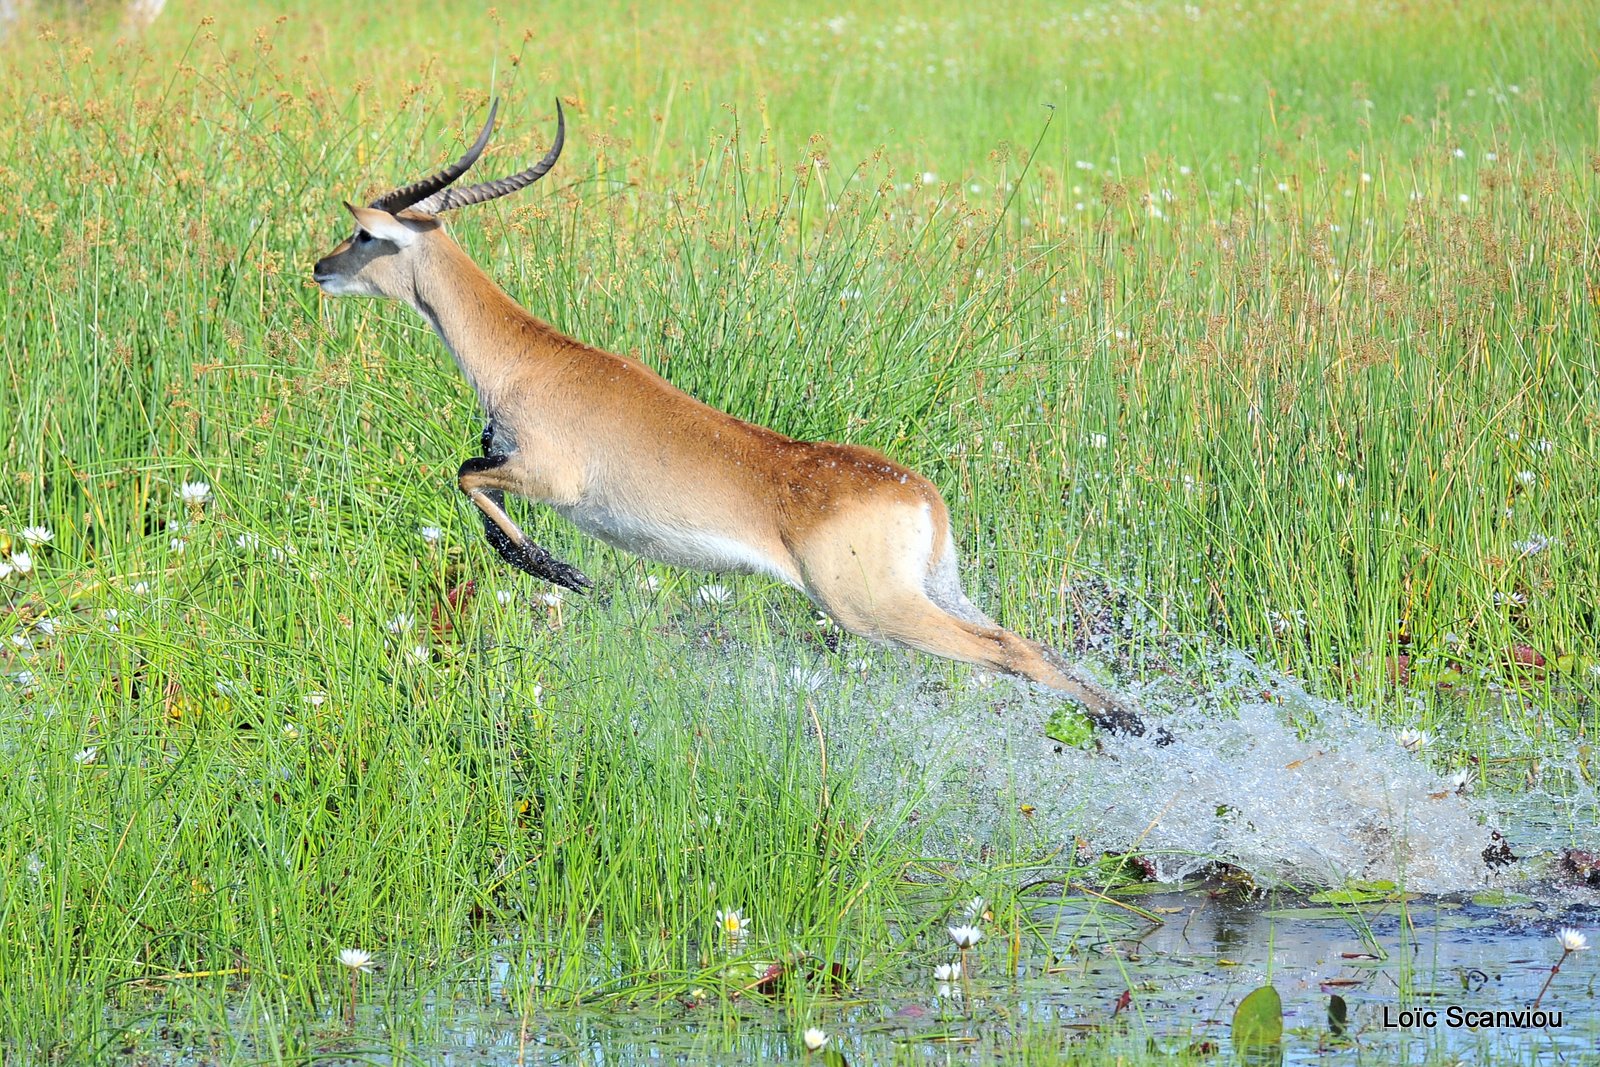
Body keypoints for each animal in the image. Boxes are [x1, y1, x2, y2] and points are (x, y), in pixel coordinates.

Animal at [308, 97, 1152, 735]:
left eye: (364, 233)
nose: (318, 267)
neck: (528, 359)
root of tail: (920, 493)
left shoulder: (550, 479)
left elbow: (465, 478)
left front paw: (566, 572)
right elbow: (474, 486)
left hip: (871, 609)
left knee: (1012, 653)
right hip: (938, 585)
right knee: (1027, 638)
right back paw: (1136, 722)